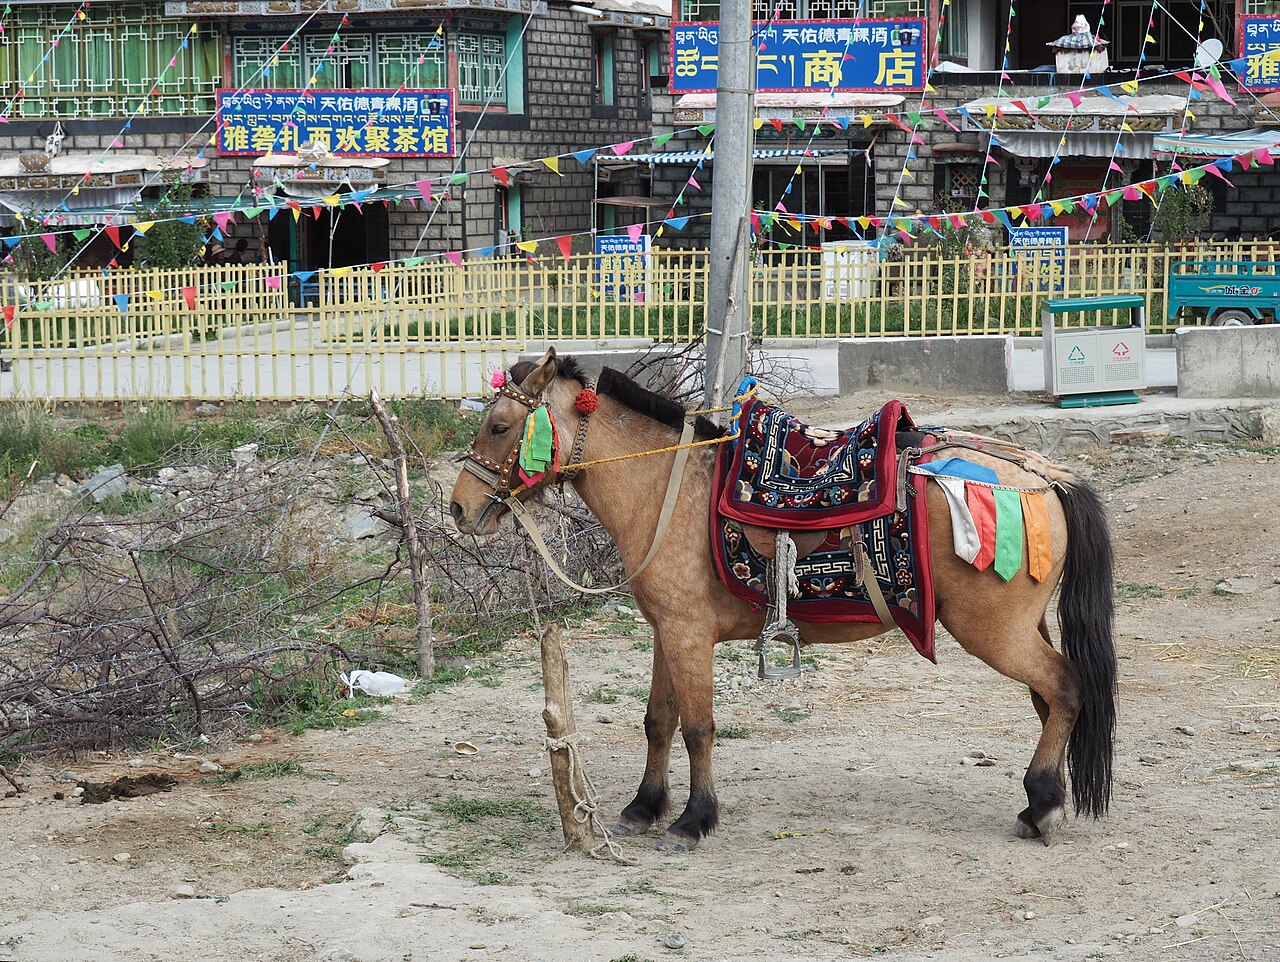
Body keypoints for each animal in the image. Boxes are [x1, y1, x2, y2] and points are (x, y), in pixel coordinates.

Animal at [450, 348, 1116, 852]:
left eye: (501, 427)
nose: (458, 507)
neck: (665, 487)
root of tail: (1044, 476)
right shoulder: (668, 631)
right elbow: (659, 720)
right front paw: (644, 807)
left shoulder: (688, 635)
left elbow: (698, 727)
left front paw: (693, 820)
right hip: (1023, 627)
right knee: (1051, 700)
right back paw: (1042, 799)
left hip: (994, 632)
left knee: (1065, 687)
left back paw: (1042, 807)